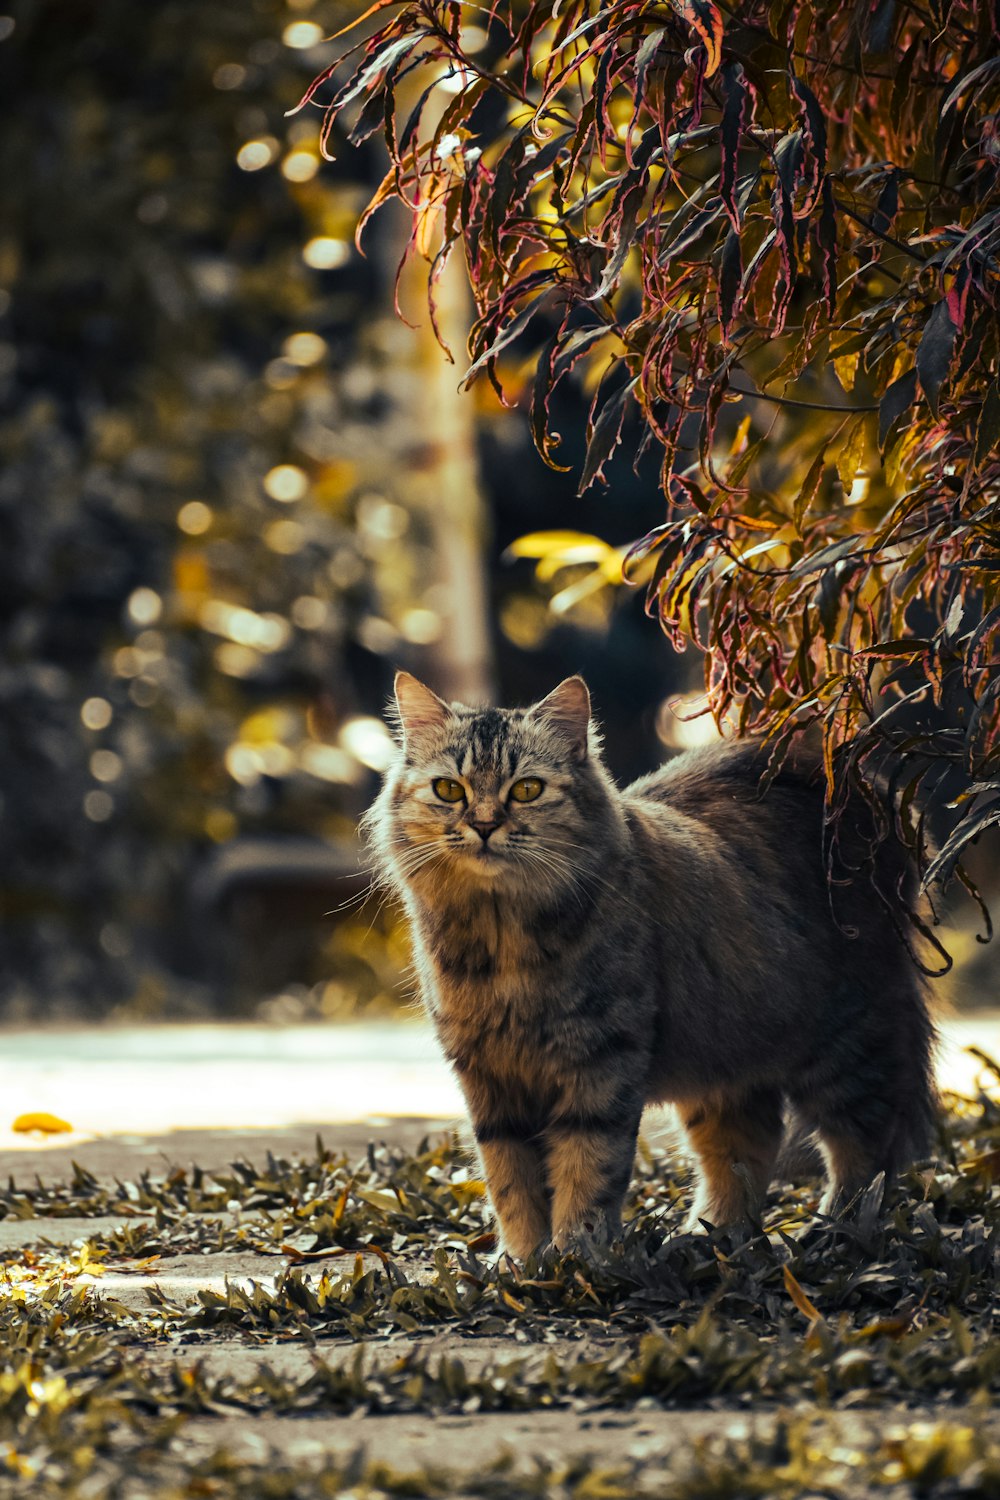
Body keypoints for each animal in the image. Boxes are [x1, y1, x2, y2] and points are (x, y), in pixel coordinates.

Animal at [367, 675, 941, 1260]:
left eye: (526, 790)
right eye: (449, 791)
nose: (483, 825)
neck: (502, 935)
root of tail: (854, 780)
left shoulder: (601, 1062)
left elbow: (587, 1171)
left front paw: (578, 1258)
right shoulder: (489, 1077)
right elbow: (511, 1182)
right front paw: (521, 1261)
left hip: (847, 1041)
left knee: (868, 1150)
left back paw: (836, 1232)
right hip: (726, 1059)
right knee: (745, 1150)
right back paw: (711, 1236)